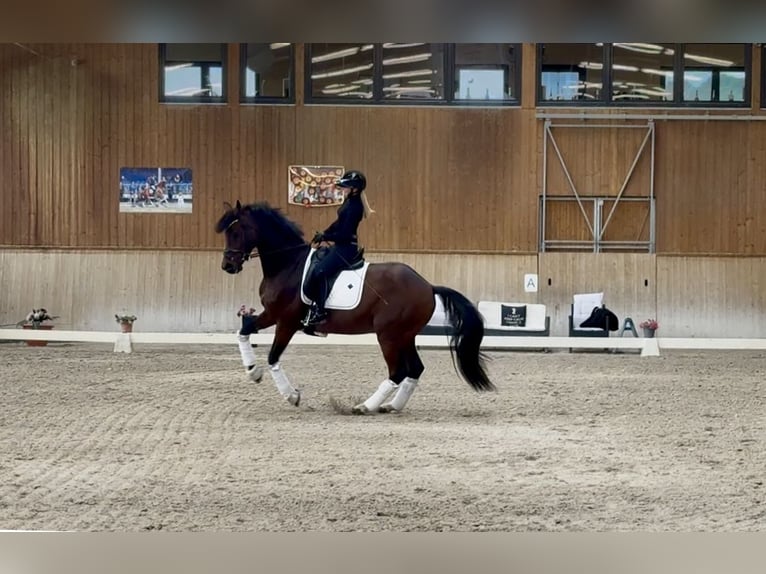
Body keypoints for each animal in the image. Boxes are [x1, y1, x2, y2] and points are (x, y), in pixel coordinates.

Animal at [215, 200, 495, 414]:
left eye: (237, 232)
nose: (228, 266)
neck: (288, 264)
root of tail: (427, 285)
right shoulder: (271, 314)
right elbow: (244, 331)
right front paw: (253, 372)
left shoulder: (286, 321)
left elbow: (273, 356)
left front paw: (291, 396)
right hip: (406, 335)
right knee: (414, 369)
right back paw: (392, 406)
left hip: (388, 334)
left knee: (398, 371)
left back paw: (365, 406)